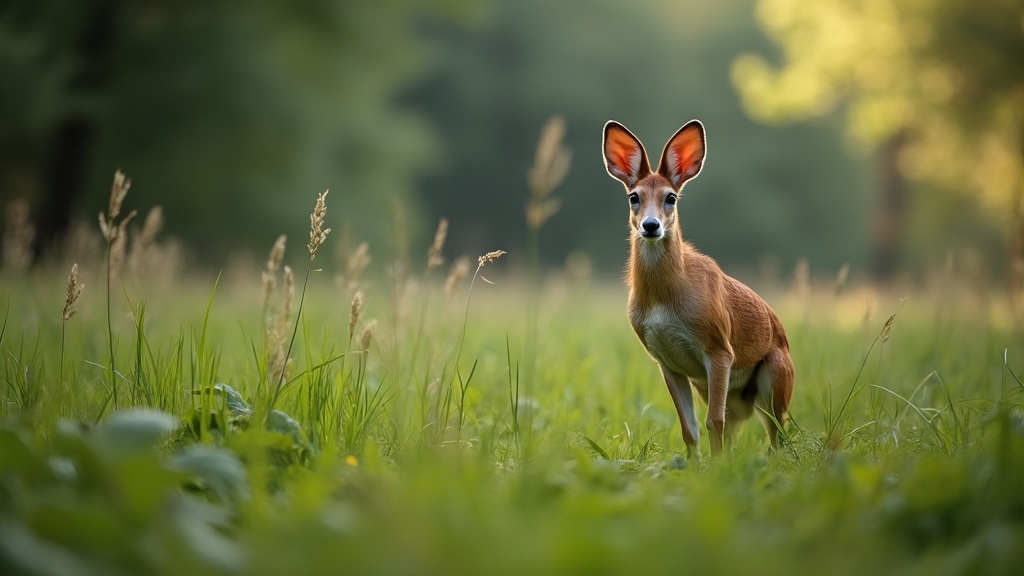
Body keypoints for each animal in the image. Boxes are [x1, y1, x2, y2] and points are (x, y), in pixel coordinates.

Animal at [602, 119, 794, 457]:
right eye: (633, 197)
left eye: (671, 197)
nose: (650, 226)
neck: (664, 301)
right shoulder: (666, 361)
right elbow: (689, 428)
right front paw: (698, 466)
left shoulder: (719, 348)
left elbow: (712, 422)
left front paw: (716, 468)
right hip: (722, 391)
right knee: (738, 428)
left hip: (775, 379)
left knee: (777, 434)